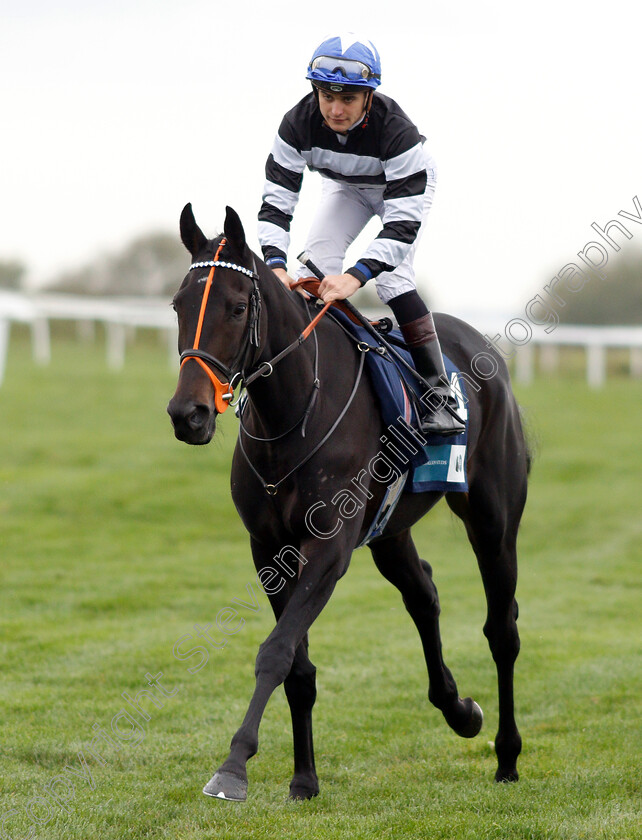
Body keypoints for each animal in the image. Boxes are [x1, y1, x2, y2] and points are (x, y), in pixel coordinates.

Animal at [166, 203, 528, 800]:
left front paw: (234, 766)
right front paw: (304, 777)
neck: (293, 415)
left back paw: (507, 756)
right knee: (423, 594)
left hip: (493, 519)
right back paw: (459, 710)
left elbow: (275, 651)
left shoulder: (328, 548)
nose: (187, 414)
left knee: (502, 629)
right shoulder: (270, 551)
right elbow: (297, 668)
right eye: (179, 304)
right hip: (390, 530)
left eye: (238, 307)